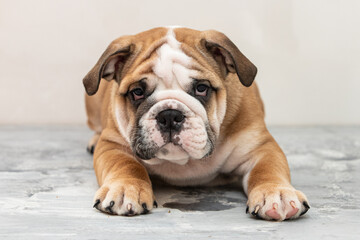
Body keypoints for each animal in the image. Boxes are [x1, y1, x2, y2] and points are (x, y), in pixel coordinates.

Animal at [82, 27, 310, 220]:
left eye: (201, 88)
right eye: (137, 92)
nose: (169, 115)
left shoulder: (260, 147)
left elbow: (267, 169)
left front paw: (276, 193)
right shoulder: (112, 145)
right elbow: (126, 166)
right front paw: (124, 189)